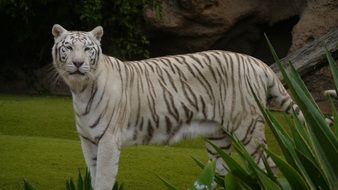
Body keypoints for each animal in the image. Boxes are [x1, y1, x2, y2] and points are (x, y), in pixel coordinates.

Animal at [51, 24, 304, 189]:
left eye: (87, 49)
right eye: (68, 47)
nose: (78, 63)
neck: (81, 90)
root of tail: (257, 62)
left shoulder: (108, 140)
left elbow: (103, 179)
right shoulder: (88, 141)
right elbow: (94, 175)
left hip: (247, 128)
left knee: (268, 167)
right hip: (217, 136)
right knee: (222, 171)